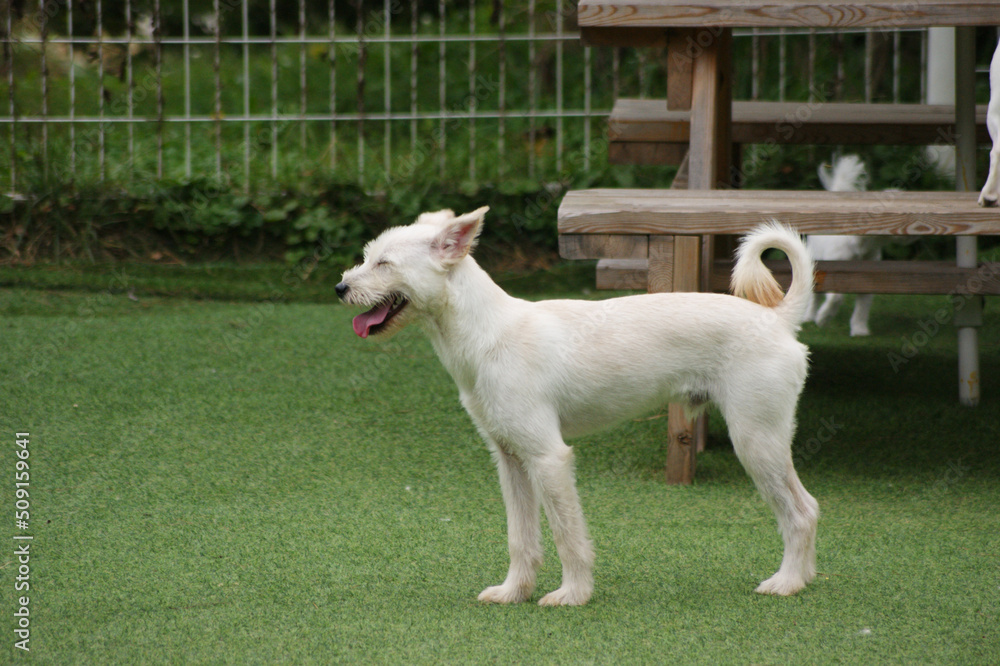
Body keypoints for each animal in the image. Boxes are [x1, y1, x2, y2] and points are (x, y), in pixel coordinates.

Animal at [336, 209, 820, 600]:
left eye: (384, 263)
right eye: (368, 256)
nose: (340, 287)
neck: (490, 333)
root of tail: (777, 320)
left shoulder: (549, 458)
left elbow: (568, 536)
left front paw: (572, 594)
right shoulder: (510, 459)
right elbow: (521, 538)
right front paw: (514, 592)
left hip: (757, 442)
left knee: (801, 512)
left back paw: (786, 583)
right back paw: (803, 578)